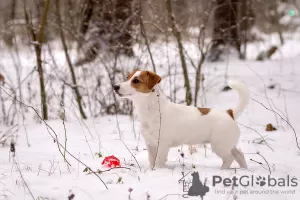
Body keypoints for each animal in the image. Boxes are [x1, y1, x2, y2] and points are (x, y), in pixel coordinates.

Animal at [113, 69, 250, 170]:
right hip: (228, 145)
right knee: (239, 155)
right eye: (127, 77)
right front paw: (152, 170)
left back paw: (223, 170)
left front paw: (158, 171)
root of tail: (229, 112)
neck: (150, 110)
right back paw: (244, 169)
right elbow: (152, 160)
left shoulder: (162, 144)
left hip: (219, 146)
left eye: (136, 80)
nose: (115, 86)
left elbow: (159, 161)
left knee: (230, 158)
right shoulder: (150, 144)